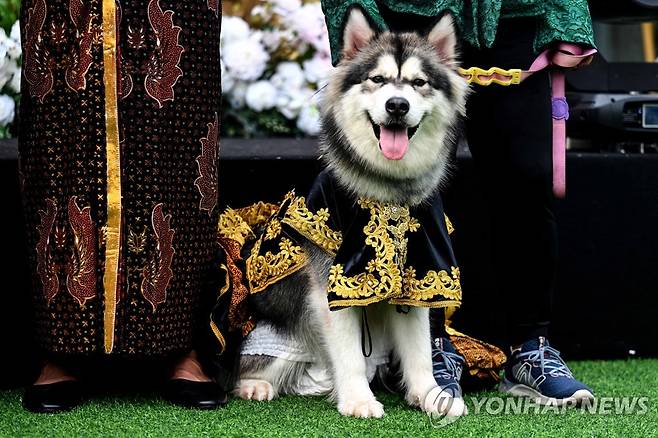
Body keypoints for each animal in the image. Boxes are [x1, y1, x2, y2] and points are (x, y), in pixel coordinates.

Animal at [233, 7, 468, 418]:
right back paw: (254, 385)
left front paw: (429, 395)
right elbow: (350, 354)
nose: (397, 105)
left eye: (419, 83)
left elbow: (420, 350)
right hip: (278, 336)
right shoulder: (334, 281)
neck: (389, 192)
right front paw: (358, 399)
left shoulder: (419, 274)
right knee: (248, 366)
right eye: (378, 79)